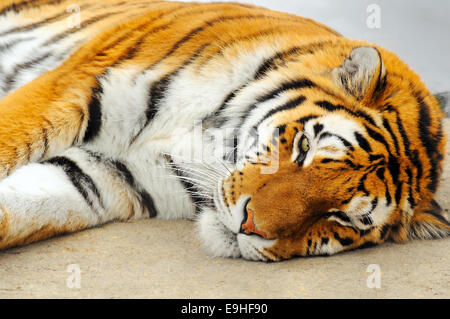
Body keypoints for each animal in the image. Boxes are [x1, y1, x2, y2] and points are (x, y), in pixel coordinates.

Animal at [0, 0, 446, 262]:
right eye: (304, 146)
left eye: (338, 217)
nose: (250, 226)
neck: (208, 143)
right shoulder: (76, 85)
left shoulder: (111, 175)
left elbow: (28, 204)